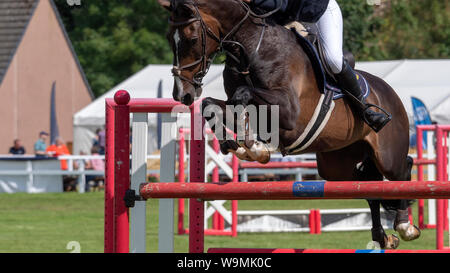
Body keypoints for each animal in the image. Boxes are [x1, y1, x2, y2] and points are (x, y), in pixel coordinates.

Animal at [156, 0, 420, 248]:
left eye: (191, 39)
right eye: (169, 38)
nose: (182, 95)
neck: (251, 49)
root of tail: (390, 93)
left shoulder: (290, 111)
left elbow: (243, 94)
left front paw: (252, 146)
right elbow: (211, 104)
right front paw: (238, 145)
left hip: (387, 156)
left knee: (403, 168)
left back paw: (405, 225)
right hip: (337, 166)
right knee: (369, 185)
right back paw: (382, 236)